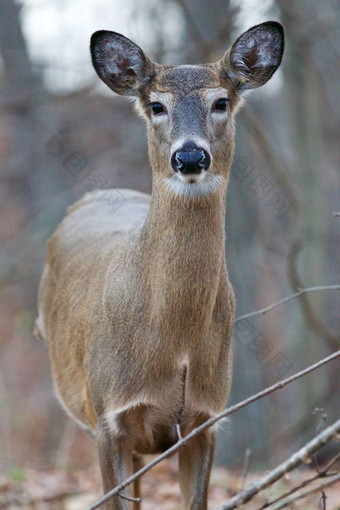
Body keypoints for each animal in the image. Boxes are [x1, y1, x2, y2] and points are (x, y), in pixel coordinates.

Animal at [35, 20, 284, 510]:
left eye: (220, 102)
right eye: (156, 105)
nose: (189, 156)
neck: (176, 339)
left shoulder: (206, 417)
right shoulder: (108, 416)